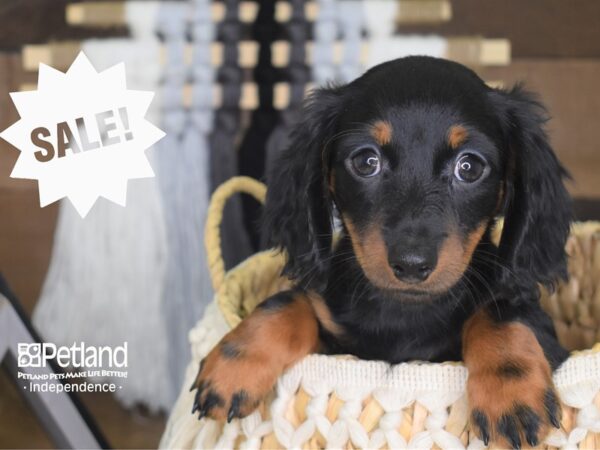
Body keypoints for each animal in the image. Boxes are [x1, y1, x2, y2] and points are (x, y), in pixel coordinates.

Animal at [191, 55, 572, 446]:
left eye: (470, 167)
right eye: (366, 161)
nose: (412, 265)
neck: (403, 310)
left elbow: (500, 313)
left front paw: (510, 394)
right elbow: (289, 301)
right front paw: (237, 361)